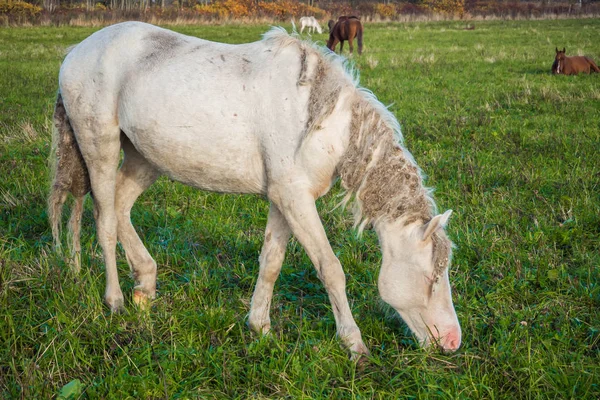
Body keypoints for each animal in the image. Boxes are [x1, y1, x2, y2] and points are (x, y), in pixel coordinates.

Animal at [50, 21, 464, 354]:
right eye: (432, 277)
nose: (452, 341)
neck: (323, 121)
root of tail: (76, 50)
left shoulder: (284, 200)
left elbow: (271, 263)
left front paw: (260, 328)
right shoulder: (295, 200)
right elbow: (330, 268)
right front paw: (354, 344)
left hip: (144, 159)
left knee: (119, 207)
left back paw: (145, 286)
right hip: (100, 147)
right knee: (104, 219)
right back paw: (116, 301)